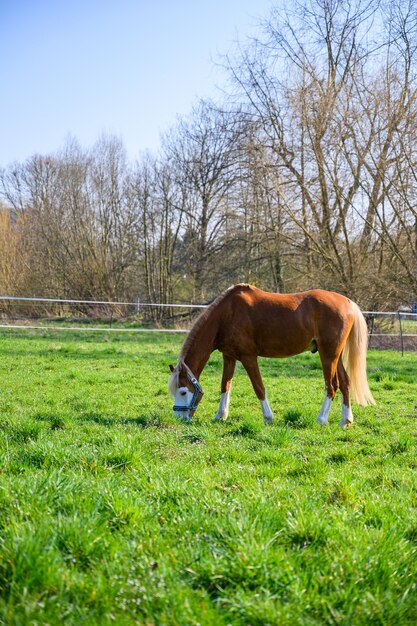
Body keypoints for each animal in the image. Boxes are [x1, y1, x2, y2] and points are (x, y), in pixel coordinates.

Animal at [167, 286, 376, 426]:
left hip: (328, 355)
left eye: (183, 391)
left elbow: (259, 387)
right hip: (334, 355)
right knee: (345, 383)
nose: (179, 419)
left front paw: (268, 418)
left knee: (331, 386)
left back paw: (321, 419)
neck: (227, 314)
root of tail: (348, 303)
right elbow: (225, 385)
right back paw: (345, 420)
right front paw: (221, 416)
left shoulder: (248, 357)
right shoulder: (229, 357)